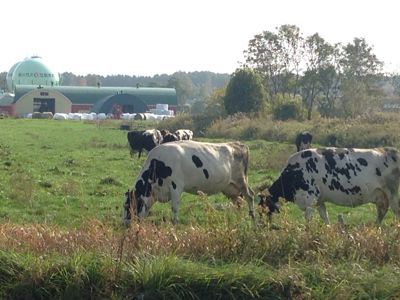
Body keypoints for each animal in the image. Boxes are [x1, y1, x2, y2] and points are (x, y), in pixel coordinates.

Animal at [123, 139, 255, 224]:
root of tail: (238, 144)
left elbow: (175, 208)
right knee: (238, 202)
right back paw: (238, 222)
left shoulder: (175, 187)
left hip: (241, 181)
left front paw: (174, 224)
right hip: (230, 187)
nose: (125, 223)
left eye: (128, 206)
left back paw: (254, 220)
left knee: (250, 196)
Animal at [260, 146, 400, 224]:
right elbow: (325, 218)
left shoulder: (309, 200)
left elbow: (308, 221)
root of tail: (392, 150)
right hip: (381, 195)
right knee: (382, 212)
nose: (262, 227)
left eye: (264, 208)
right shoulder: (319, 201)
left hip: (392, 194)